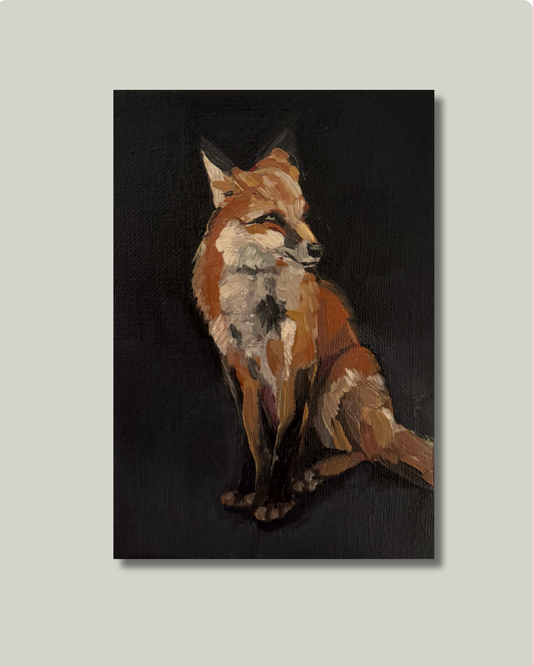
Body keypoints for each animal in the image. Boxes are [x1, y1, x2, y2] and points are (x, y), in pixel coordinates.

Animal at [192, 140, 434, 522]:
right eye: (271, 218)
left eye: (302, 213)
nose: (317, 249)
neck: (257, 311)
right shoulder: (239, 373)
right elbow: (254, 443)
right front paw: (249, 491)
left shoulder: (300, 363)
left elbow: (287, 438)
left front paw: (275, 500)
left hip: (337, 386)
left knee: (364, 451)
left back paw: (312, 473)